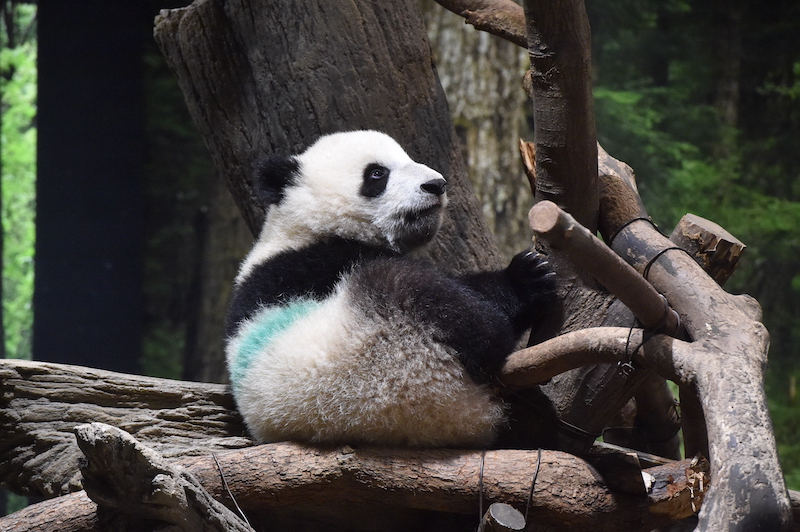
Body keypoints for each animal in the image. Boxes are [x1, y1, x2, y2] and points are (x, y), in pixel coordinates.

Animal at [222, 131, 552, 446]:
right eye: (377, 173)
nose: (436, 184)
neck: (305, 228)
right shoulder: (320, 260)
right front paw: (525, 277)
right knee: (419, 291)